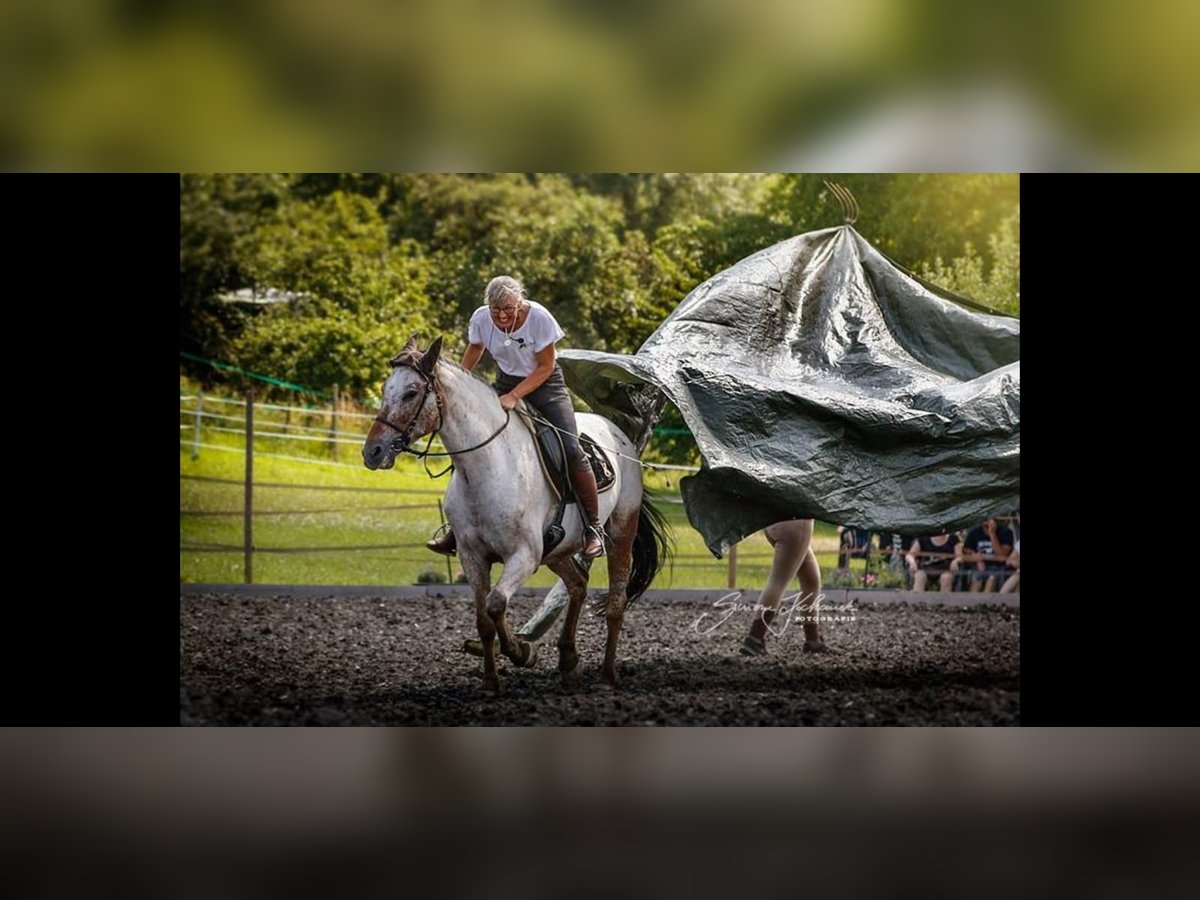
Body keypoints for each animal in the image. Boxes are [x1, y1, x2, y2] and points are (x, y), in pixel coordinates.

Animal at [360, 336, 672, 696]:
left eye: (411, 393)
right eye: (385, 388)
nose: (373, 452)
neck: (488, 466)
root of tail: (621, 437)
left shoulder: (524, 556)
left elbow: (496, 603)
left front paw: (522, 652)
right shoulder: (472, 556)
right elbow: (483, 619)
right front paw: (490, 682)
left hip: (620, 532)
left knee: (615, 604)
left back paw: (607, 676)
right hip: (557, 551)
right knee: (578, 584)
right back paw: (569, 662)